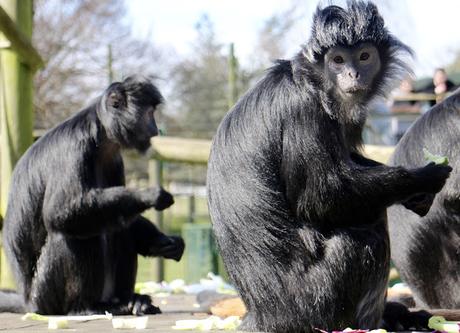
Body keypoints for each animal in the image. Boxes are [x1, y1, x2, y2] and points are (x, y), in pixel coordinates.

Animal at [2, 76, 185, 316]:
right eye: (149, 114)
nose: (155, 129)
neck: (99, 135)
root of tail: (28, 302)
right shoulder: (74, 147)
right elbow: (58, 214)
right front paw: (148, 195)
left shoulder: (114, 159)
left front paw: (162, 242)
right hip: (44, 294)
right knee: (69, 232)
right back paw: (84, 307)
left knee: (118, 223)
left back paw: (130, 301)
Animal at [207, 1, 452, 330]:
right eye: (337, 60)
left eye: (364, 56)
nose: (352, 73)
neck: (313, 81)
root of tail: (263, 315)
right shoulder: (302, 109)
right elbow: (320, 198)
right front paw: (423, 178)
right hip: (314, 300)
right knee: (367, 235)